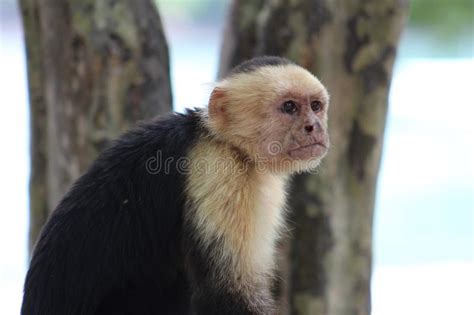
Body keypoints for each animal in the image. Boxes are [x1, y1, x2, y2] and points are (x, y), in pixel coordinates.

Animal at [21, 55, 330, 314]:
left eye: (316, 106)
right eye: (289, 107)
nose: (314, 126)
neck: (222, 141)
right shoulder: (219, 172)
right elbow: (226, 294)